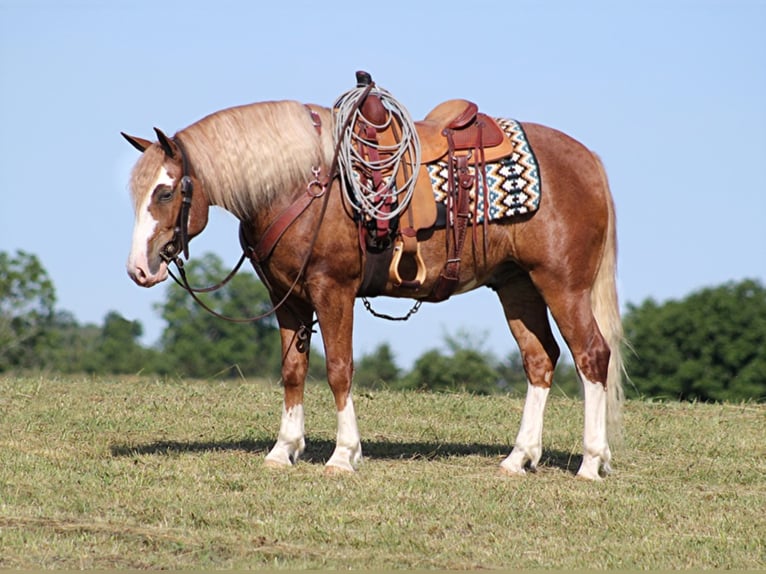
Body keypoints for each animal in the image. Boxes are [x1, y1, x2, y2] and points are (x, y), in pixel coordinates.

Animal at [123, 94, 628, 482]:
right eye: (136, 192)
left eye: (165, 192)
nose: (138, 269)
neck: (303, 183)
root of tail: (588, 160)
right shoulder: (286, 297)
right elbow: (293, 371)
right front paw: (283, 449)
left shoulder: (332, 290)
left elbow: (339, 369)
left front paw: (343, 455)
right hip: (517, 286)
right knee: (540, 360)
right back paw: (519, 457)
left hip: (563, 284)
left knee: (591, 356)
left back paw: (590, 462)